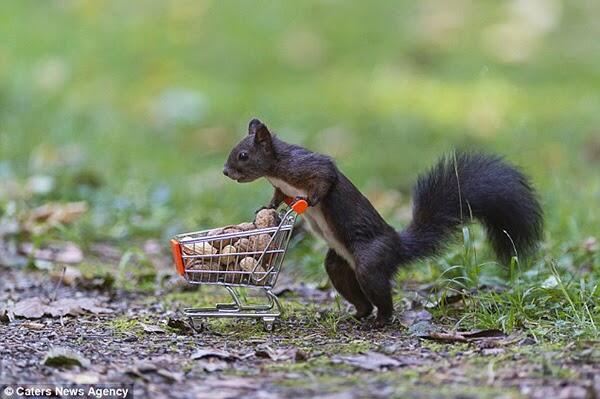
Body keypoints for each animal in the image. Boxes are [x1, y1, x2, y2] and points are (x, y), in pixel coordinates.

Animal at [224, 119, 544, 328]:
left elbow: (325, 178)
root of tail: (398, 247)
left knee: (382, 296)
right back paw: (355, 315)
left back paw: (381, 319)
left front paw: (309, 201)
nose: (226, 172)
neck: (276, 168)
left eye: (243, 155)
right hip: (339, 266)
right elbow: (277, 198)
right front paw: (267, 208)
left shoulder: (307, 167)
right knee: (359, 295)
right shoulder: (282, 187)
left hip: (370, 261)